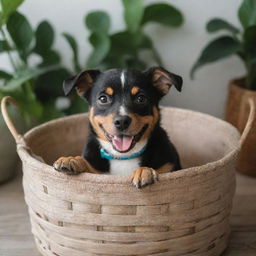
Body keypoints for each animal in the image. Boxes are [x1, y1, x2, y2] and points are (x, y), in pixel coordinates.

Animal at [53, 66, 182, 188]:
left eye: (141, 98)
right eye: (103, 98)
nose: (122, 121)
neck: (124, 157)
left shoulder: (169, 166)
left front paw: (144, 171)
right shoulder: (97, 171)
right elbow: (89, 165)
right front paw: (71, 159)